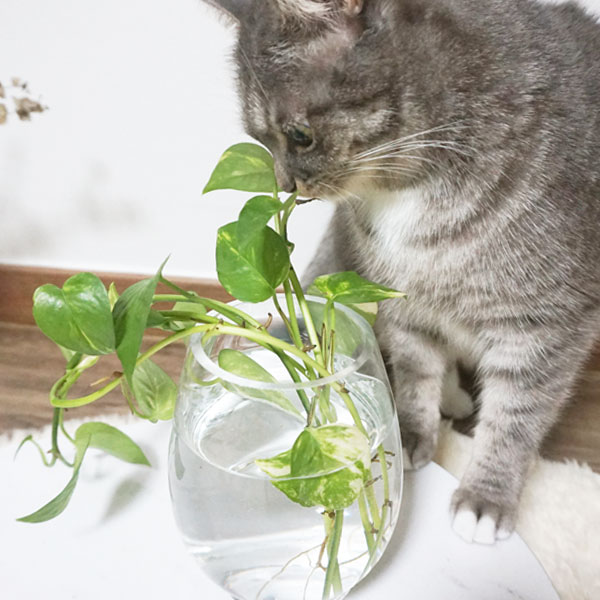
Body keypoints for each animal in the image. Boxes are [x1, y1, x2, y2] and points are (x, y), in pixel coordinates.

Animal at [203, 0, 600, 544]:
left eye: (299, 136)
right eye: (257, 140)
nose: (285, 186)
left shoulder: (546, 325)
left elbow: (516, 416)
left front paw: (486, 498)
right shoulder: (397, 298)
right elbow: (414, 375)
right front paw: (411, 434)